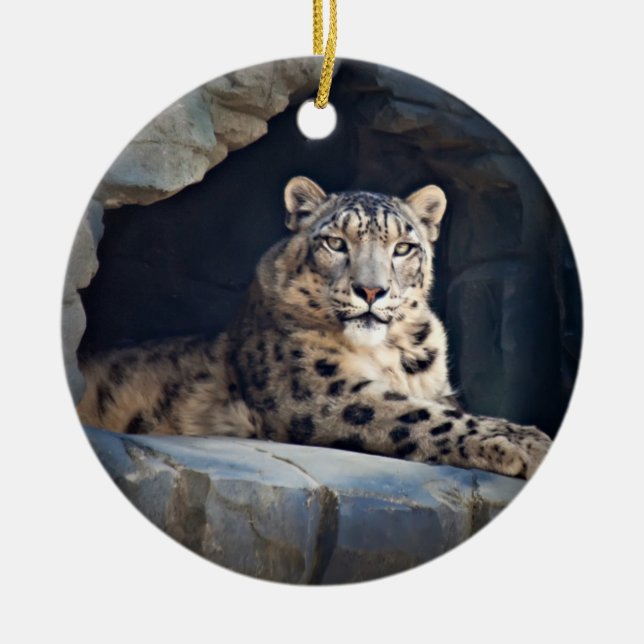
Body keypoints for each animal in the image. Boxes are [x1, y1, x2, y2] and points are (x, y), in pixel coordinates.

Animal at [76, 176, 552, 479]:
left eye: (403, 247)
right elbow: (420, 415)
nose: (371, 290)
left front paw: (524, 436)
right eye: (336, 242)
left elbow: (449, 410)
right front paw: (527, 444)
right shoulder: (320, 391)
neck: (390, 354)